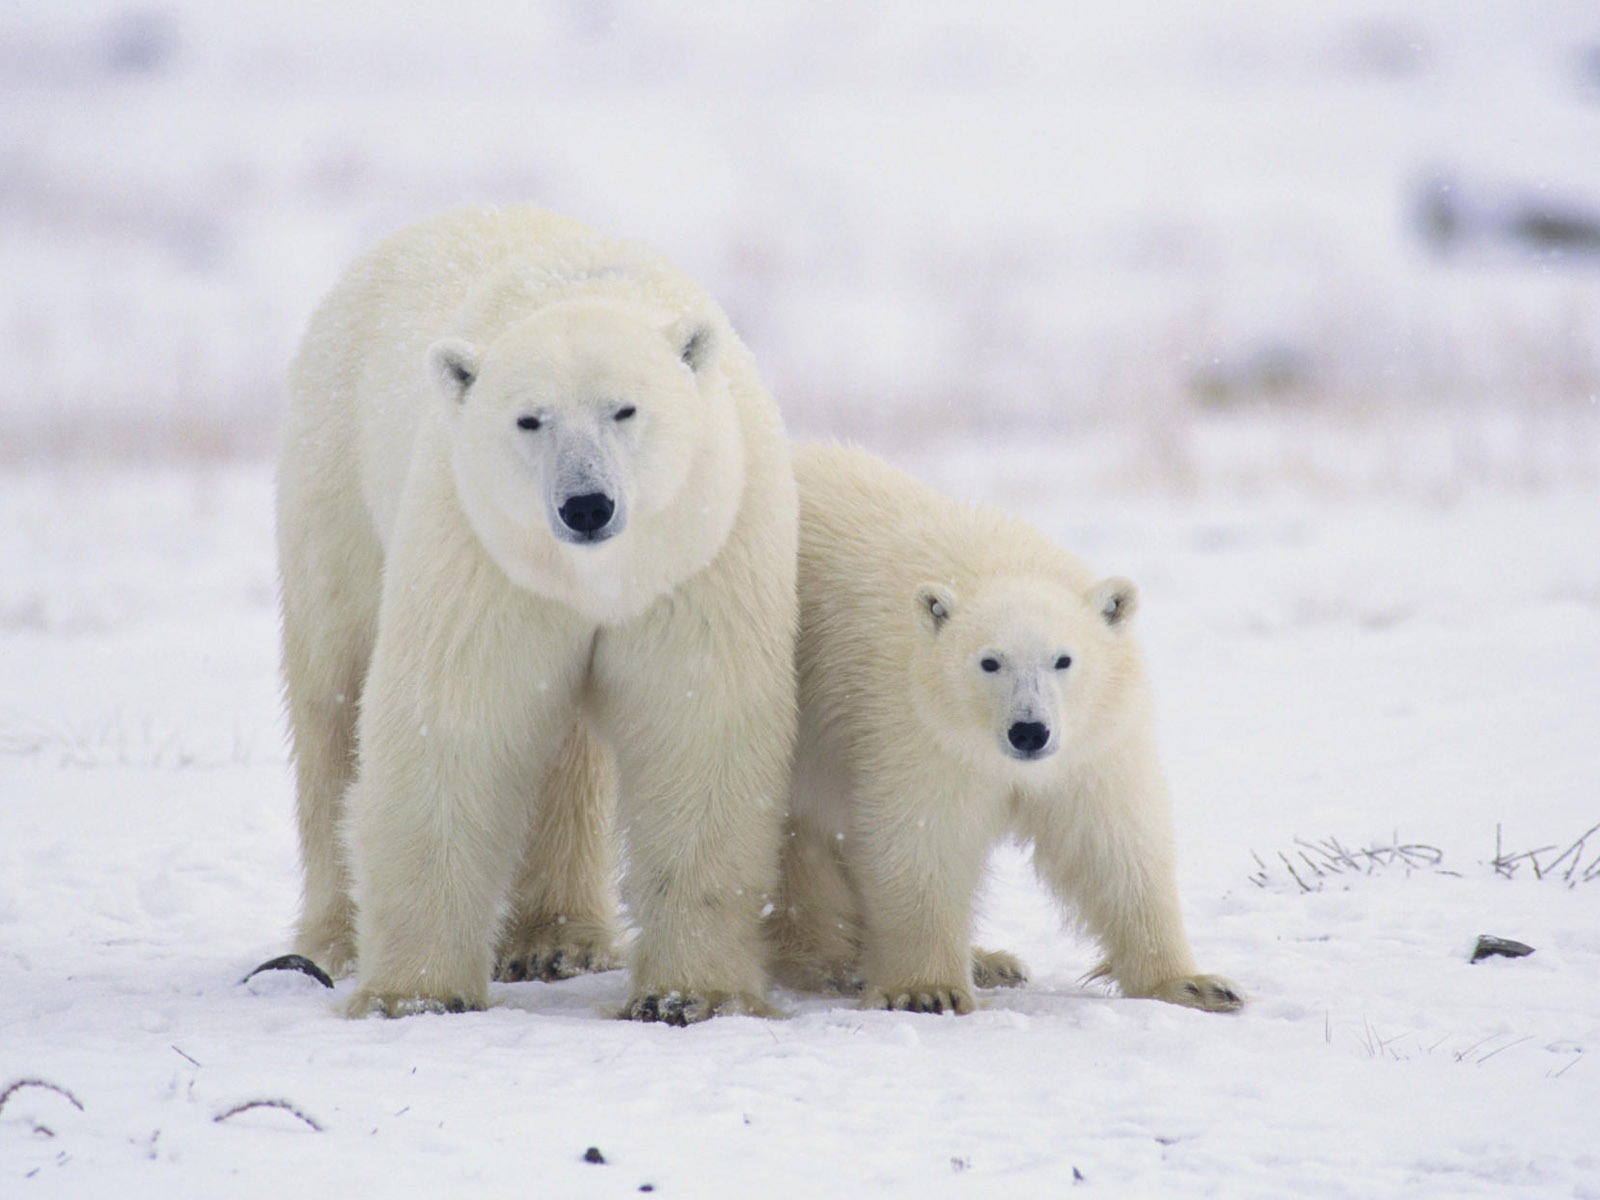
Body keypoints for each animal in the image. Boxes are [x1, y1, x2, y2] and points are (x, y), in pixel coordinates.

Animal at [281, 206, 800, 1024]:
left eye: (625, 408)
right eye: (530, 420)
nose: (586, 505)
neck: (594, 576)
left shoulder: (702, 548)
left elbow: (699, 726)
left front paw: (688, 993)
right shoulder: (481, 549)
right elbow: (454, 721)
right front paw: (416, 994)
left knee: (567, 755)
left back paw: (558, 941)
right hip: (335, 482)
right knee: (333, 697)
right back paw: (333, 940)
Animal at [768, 448, 1241, 1017]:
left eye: (1063, 659)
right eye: (989, 662)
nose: (1029, 731)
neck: (993, 565)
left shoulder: (1093, 742)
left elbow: (1112, 842)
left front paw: (1194, 984)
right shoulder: (915, 726)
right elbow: (923, 838)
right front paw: (928, 989)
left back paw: (990, 961)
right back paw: (832, 961)